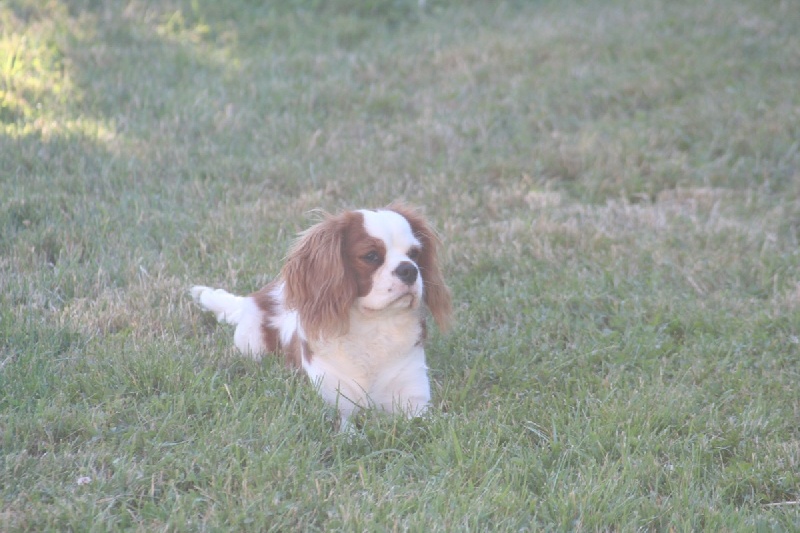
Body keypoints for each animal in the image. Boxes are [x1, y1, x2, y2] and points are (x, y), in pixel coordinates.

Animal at [189, 202, 450, 426]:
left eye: (415, 254)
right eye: (371, 256)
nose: (409, 270)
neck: (374, 325)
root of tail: (255, 297)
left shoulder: (416, 403)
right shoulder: (335, 407)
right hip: (252, 345)